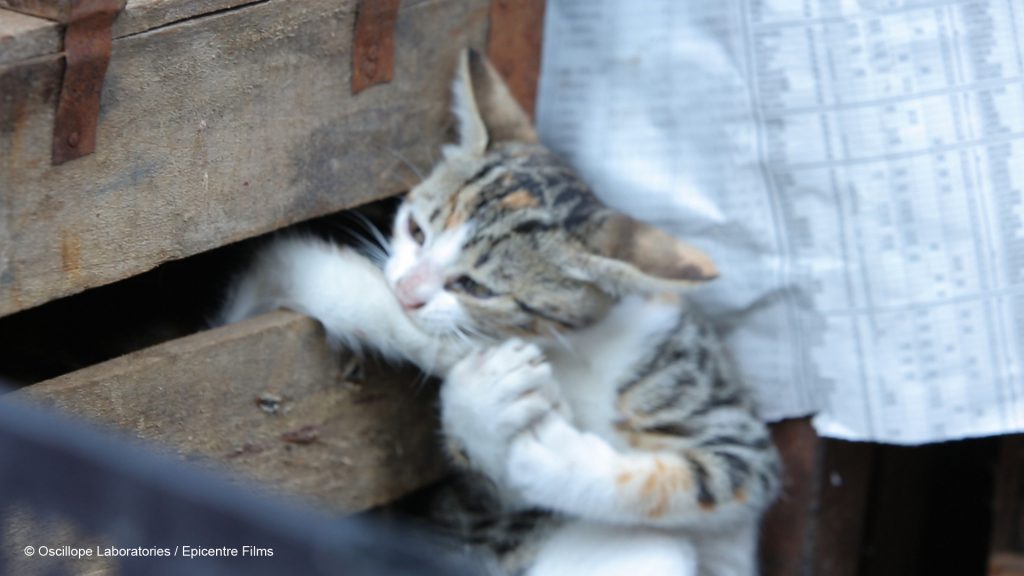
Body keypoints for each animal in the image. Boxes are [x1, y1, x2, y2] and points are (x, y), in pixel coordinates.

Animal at [220, 49, 778, 573]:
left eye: (475, 287)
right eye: (417, 230)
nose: (408, 289)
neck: (581, 349)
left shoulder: (737, 436)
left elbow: (688, 480)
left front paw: (546, 451)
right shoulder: (485, 507)